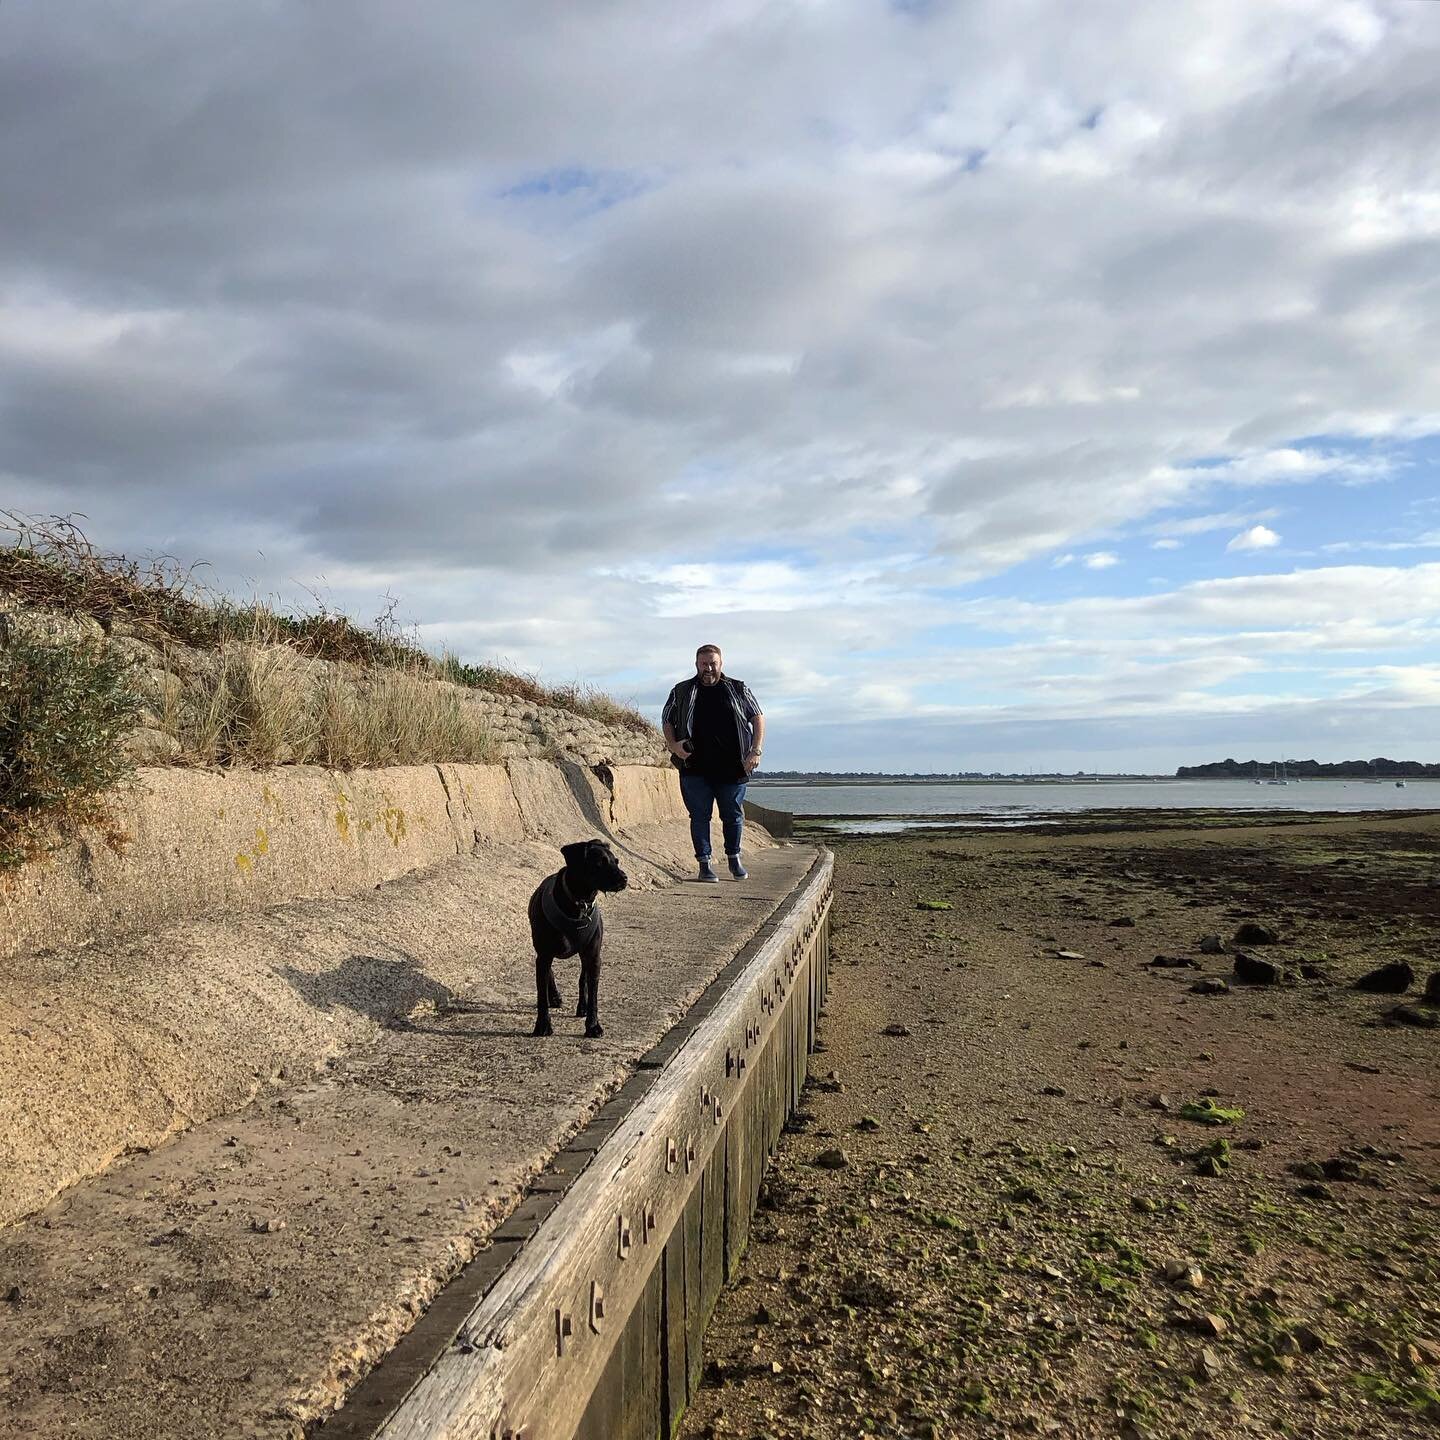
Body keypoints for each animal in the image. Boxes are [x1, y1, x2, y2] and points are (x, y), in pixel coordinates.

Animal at [527, 840, 622, 1042]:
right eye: (599, 863)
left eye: (616, 861)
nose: (624, 878)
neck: (579, 903)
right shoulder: (544, 955)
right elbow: (541, 994)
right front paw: (543, 1025)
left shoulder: (594, 957)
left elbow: (593, 994)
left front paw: (593, 1026)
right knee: (549, 973)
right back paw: (554, 997)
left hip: (585, 955)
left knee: (582, 978)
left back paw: (582, 1006)